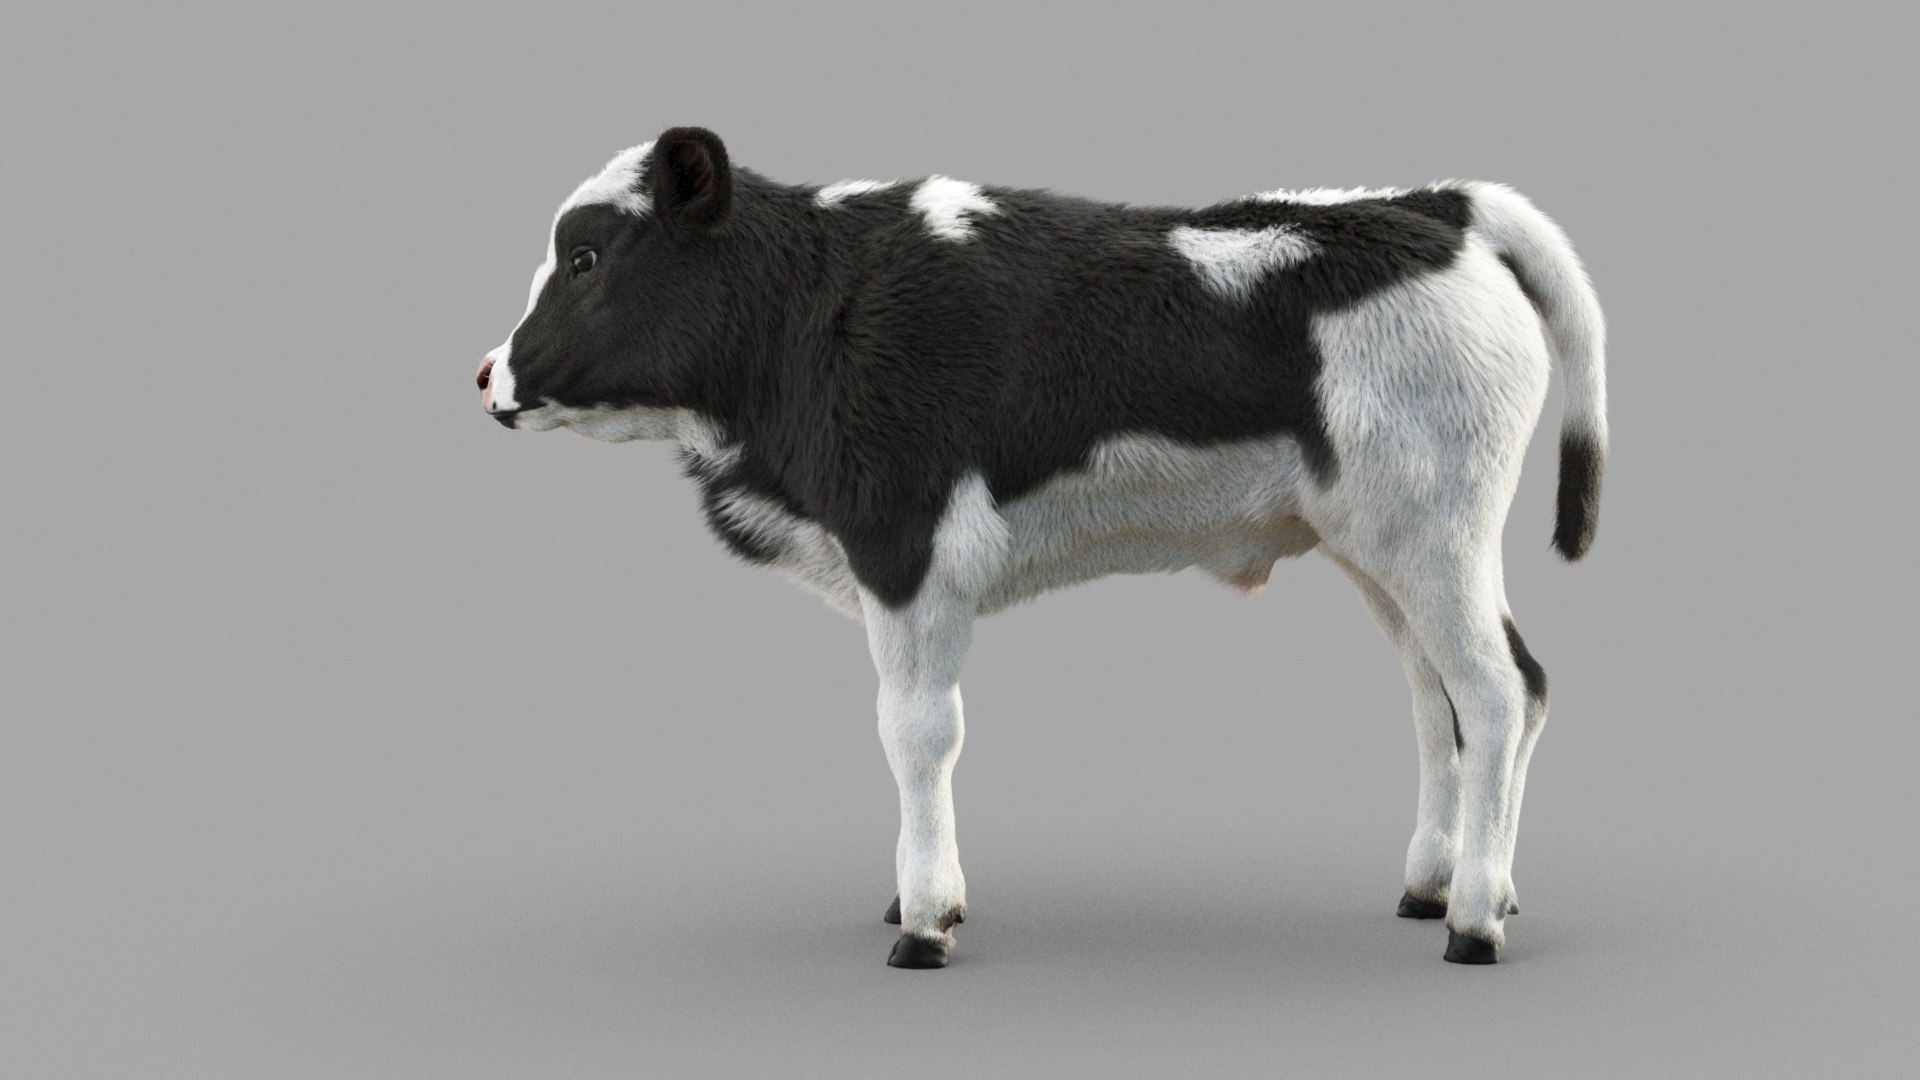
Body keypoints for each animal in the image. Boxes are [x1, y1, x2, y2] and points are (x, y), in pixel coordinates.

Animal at [475, 126, 1607, 969]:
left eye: (585, 256)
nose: (486, 373)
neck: (815, 312)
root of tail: (1430, 207)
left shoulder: (910, 550)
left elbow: (916, 733)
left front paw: (925, 921)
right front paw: (911, 898)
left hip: (1434, 540)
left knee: (1501, 693)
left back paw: (1475, 922)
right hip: (1385, 550)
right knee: (1439, 701)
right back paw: (1436, 887)